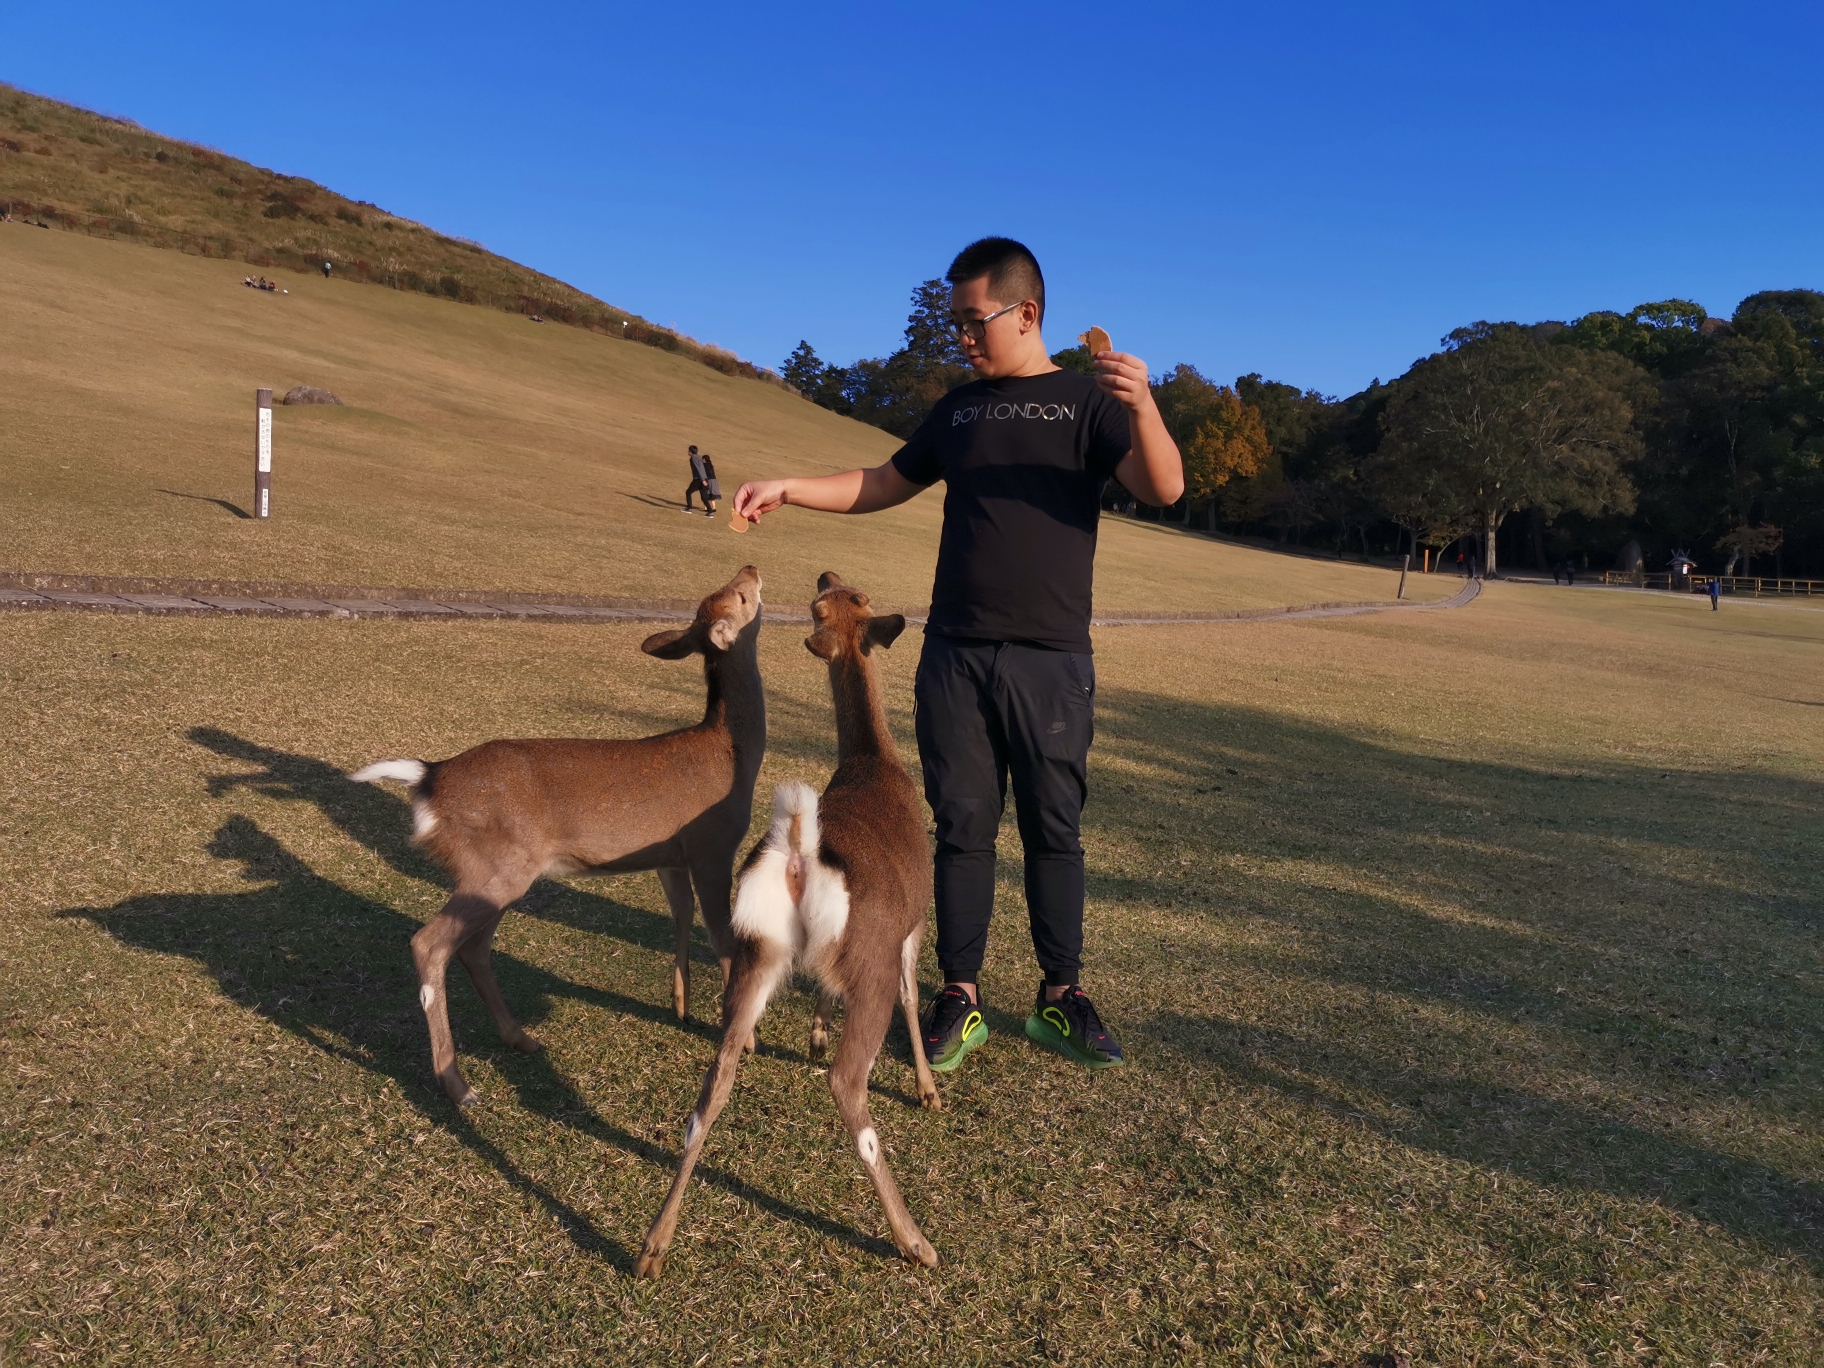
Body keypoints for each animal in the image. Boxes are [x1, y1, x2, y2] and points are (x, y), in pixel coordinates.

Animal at [352, 561, 766, 1108]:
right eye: (740, 596)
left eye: (725, 591)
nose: (752, 567)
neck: (732, 757)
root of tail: (428, 780)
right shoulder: (713, 847)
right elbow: (723, 938)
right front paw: (748, 1038)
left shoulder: (671, 857)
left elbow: (682, 916)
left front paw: (680, 1006)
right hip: (496, 867)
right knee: (428, 943)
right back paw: (458, 1085)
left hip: (498, 875)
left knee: (473, 948)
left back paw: (520, 1038)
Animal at [634, 572, 941, 1284]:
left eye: (845, 597)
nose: (826, 575)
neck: (877, 763)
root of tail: (799, 847)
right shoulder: (913, 924)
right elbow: (914, 995)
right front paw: (927, 1088)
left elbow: (823, 989)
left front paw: (814, 1033)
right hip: (866, 959)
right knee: (850, 1087)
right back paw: (915, 1241)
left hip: (757, 950)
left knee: (710, 1089)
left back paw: (652, 1247)